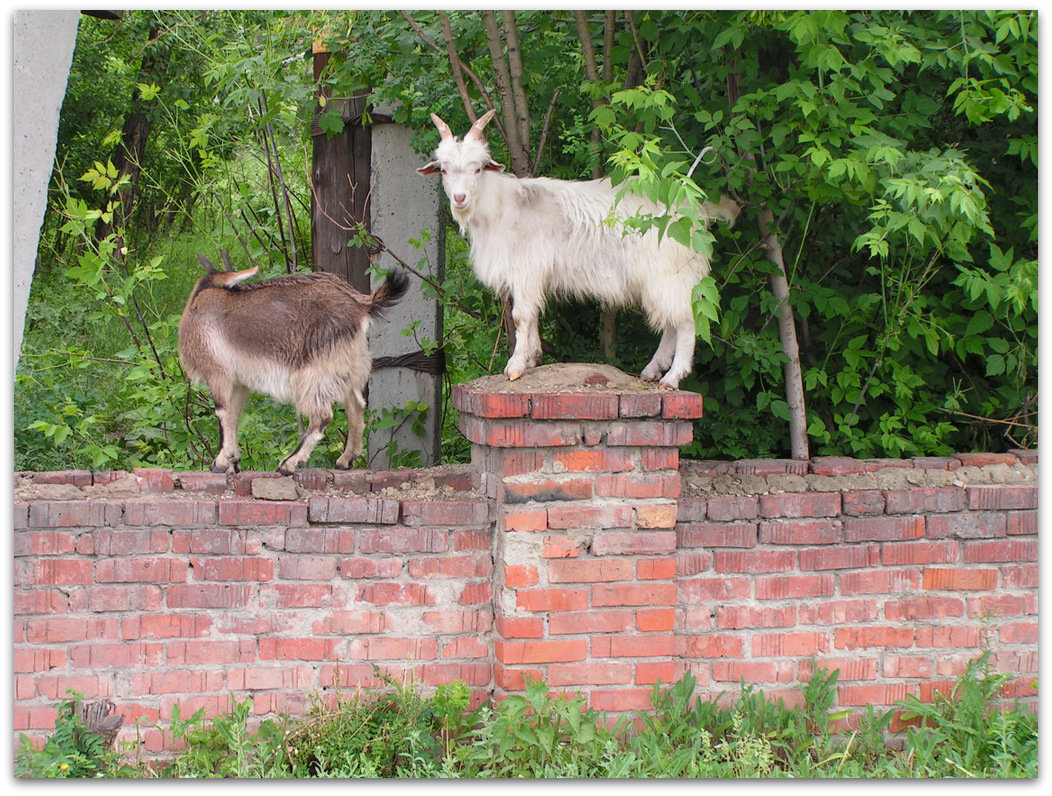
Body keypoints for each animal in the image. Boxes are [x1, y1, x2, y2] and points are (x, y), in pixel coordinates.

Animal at [176, 256, 406, 471]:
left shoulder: (218, 372)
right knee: (356, 405)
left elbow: (223, 412)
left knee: (322, 415)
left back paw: (290, 463)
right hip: (349, 365)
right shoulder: (239, 381)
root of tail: (361, 305)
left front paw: (222, 462)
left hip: (315, 370)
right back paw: (345, 460)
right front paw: (233, 461)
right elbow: (234, 415)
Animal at [414, 107, 736, 389]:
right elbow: (532, 315)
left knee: (687, 321)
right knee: (671, 322)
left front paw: (515, 366)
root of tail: (694, 206)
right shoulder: (531, 275)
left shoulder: (526, 269)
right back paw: (652, 370)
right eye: (444, 170)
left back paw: (672, 377)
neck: (502, 207)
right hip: (661, 278)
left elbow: (520, 316)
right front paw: (532, 358)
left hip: (670, 272)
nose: (460, 198)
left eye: (478, 169)